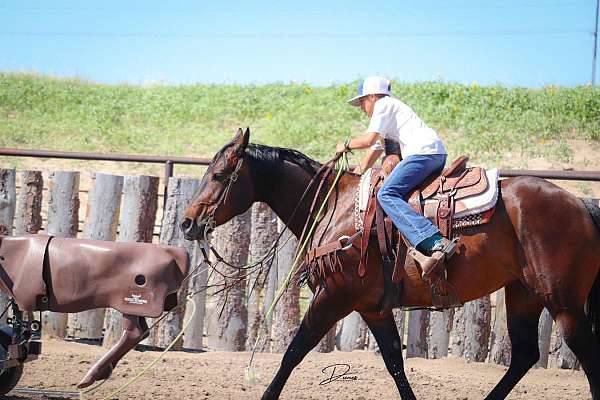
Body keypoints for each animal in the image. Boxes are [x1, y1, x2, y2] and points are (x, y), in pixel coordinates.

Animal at [182, 129, 600, 400]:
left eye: (219, 174)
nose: (187, 223)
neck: (333, 208)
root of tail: (581, 204)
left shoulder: (333, 297)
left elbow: (293, 352)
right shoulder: (373, 308)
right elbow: (394, 361)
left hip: (562, 302)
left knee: (586, 354)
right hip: (523, 294)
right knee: (524, 355)